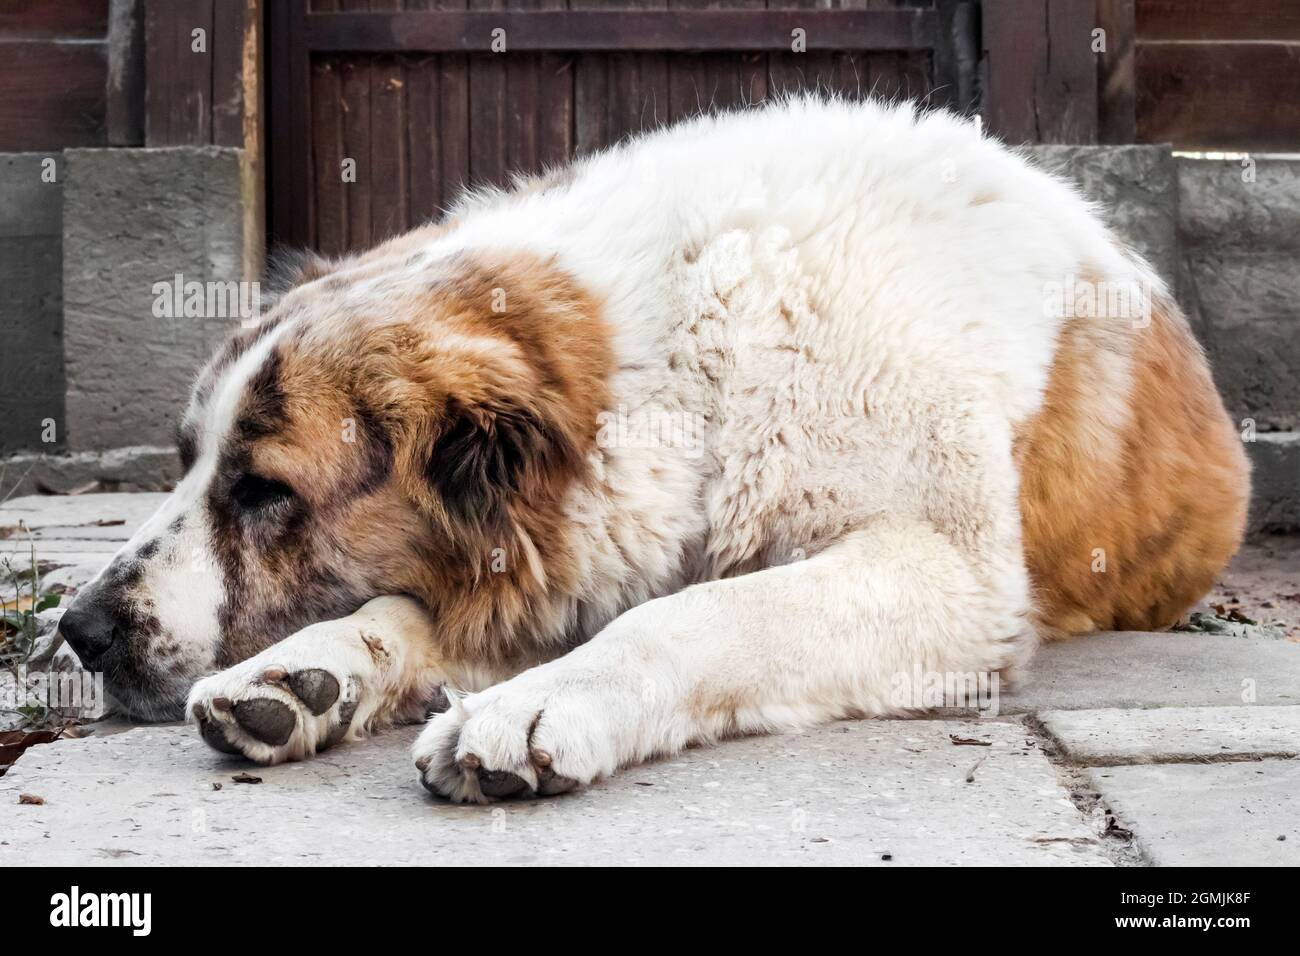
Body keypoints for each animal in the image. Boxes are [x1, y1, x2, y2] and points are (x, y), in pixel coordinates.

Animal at [58, 97, 1248, 806]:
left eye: (265, 491)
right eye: (186, 461)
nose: (78, 632)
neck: (694, 356)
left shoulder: (943, 567)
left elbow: (699, 611)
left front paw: (539, 704)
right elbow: (423, 609)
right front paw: (310, 674)